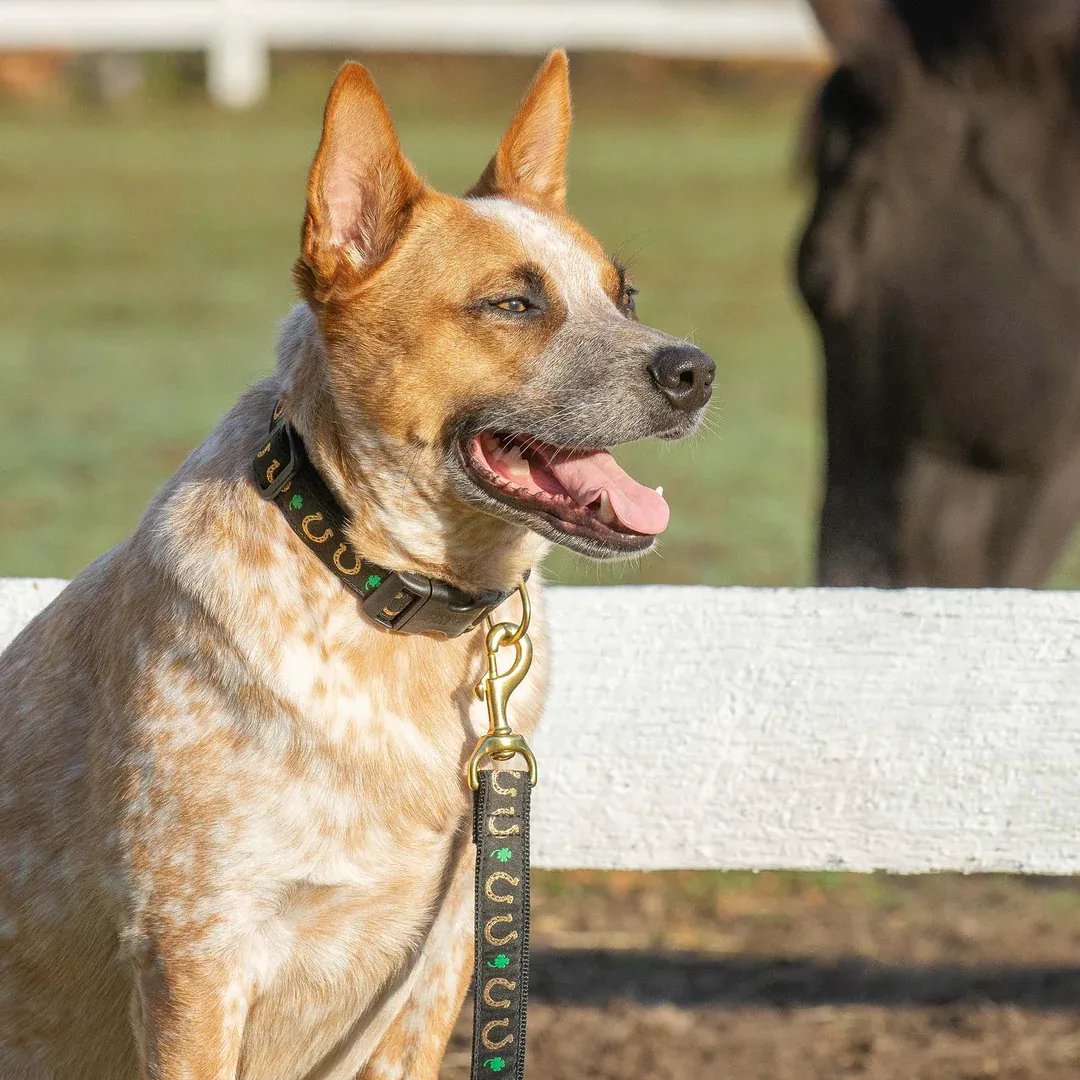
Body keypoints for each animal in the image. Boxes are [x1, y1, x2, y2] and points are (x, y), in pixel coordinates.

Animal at [0, 50, 717, 1080]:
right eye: (513, 302)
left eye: (624, 297)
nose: (696, 371)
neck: (384, 593)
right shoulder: (195, 955)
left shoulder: (439, 959)